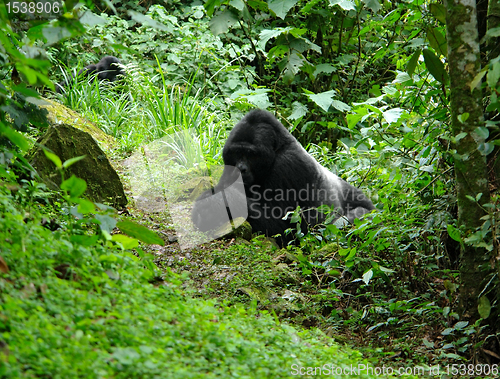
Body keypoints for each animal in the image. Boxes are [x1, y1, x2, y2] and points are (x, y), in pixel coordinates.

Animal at [191, 110, 376, 246]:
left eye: (251, 154)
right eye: (236, 153)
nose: (240, 169)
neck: (277, 147)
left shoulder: (287, 165)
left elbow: (282, 229)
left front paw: (216, 204)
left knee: (357, 217)